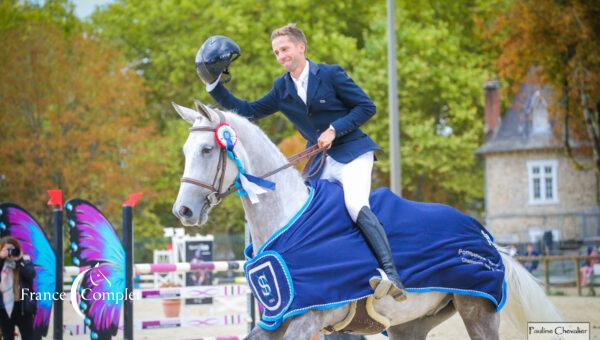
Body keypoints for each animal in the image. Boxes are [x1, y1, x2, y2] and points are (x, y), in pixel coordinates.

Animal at [172, 101, 564, 340]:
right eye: (186, 151)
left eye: (207, 149)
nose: (183, 211)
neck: (288, 221)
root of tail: (485, 237)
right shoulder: (274, 321)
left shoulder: (307, 319)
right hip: (413, 324)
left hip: (478, 310)